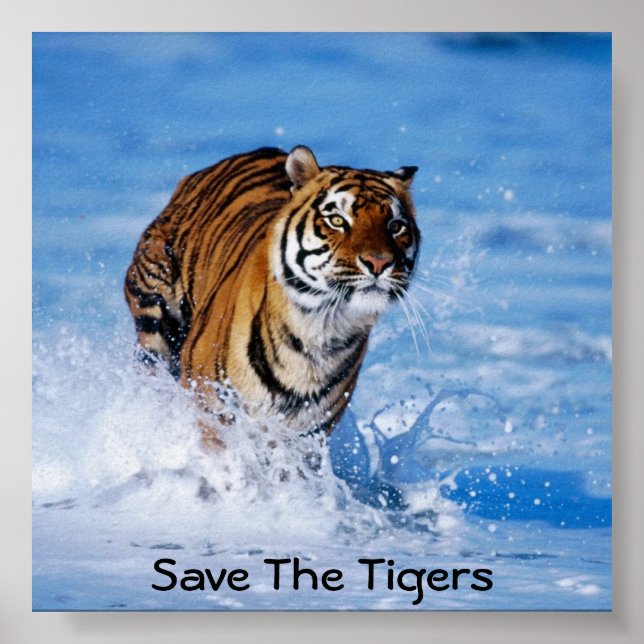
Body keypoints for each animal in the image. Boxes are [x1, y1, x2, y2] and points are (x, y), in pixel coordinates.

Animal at [124, 146, 419, 445]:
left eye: (395, 226)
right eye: (337, 220)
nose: (379, 262)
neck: (320, 331)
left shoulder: (307, 435)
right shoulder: (214, 412)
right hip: (155, 320)